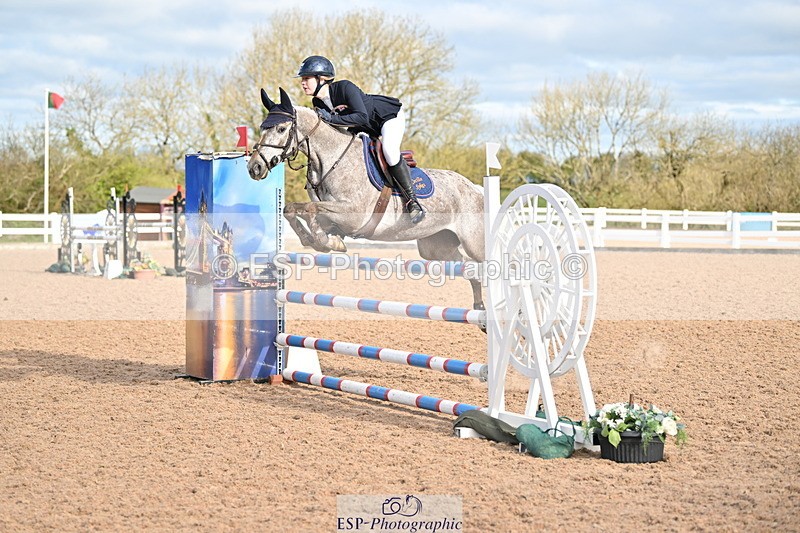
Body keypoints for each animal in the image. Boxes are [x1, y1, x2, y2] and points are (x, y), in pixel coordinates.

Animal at [247, 87, 486, 310]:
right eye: (262, 128)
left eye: (281, 129)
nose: (254, 167)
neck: (331, 159)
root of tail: (475, 189)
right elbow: (294, 209)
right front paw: (317, 240)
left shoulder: (353, 215)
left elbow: (312, 209)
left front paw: (328, 242)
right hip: (437, 247)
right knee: (469, 270)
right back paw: (480, 310)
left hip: (473, 244)